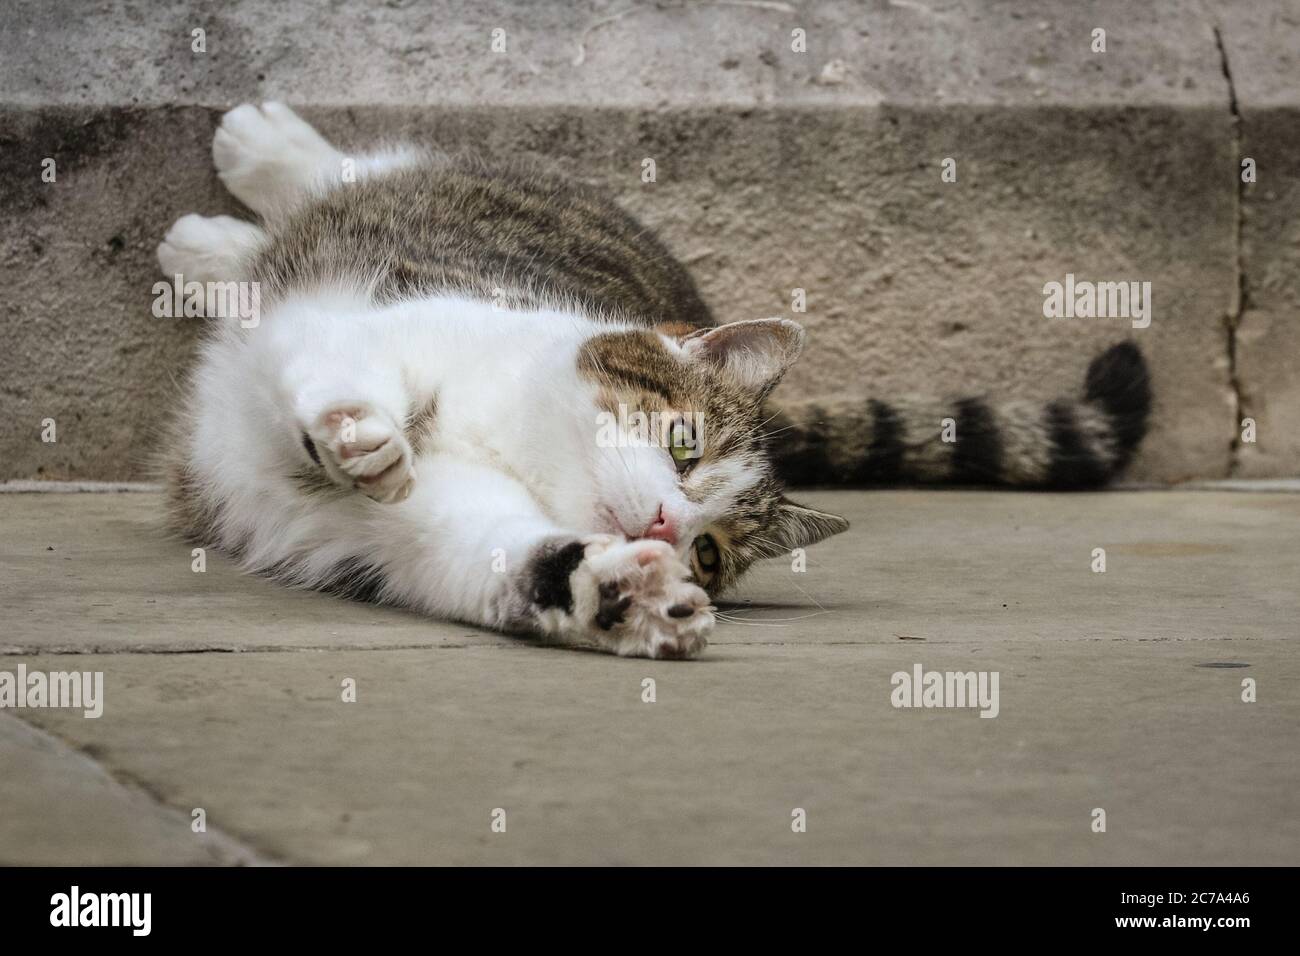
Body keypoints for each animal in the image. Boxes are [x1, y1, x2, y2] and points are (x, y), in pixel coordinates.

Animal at [159, 102, 1149, 658]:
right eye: (684, 443)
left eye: (711, 554)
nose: (673, 525)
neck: (507, 440)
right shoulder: (359, 324)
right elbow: (341, 370)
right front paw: (360, 431)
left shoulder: (426, 527)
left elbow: (495, 554)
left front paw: (618, 596)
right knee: (347, 175)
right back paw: (246, 176)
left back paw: (216, 247)